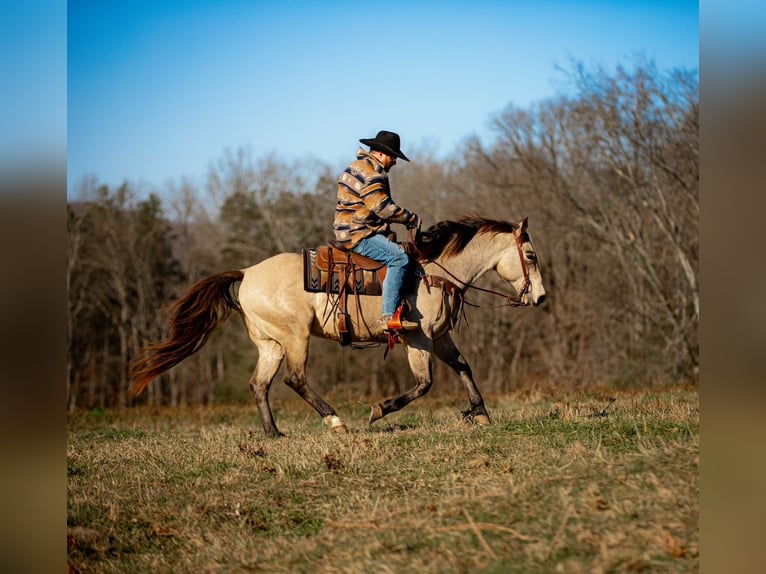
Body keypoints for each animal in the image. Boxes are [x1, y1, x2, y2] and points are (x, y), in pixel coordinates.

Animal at [129, 215, 547, 437]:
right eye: (530, 255)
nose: (541, 297)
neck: (433, 273)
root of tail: (246, 273)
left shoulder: (440, 337)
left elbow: (463, 367)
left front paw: (479, 412)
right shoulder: (419, 340)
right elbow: (424, 384)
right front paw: (379, 410)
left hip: (270, 344)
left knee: (259, 384)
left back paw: (274, 433)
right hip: (295, 338)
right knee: (294, 379)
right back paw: (335, 421)